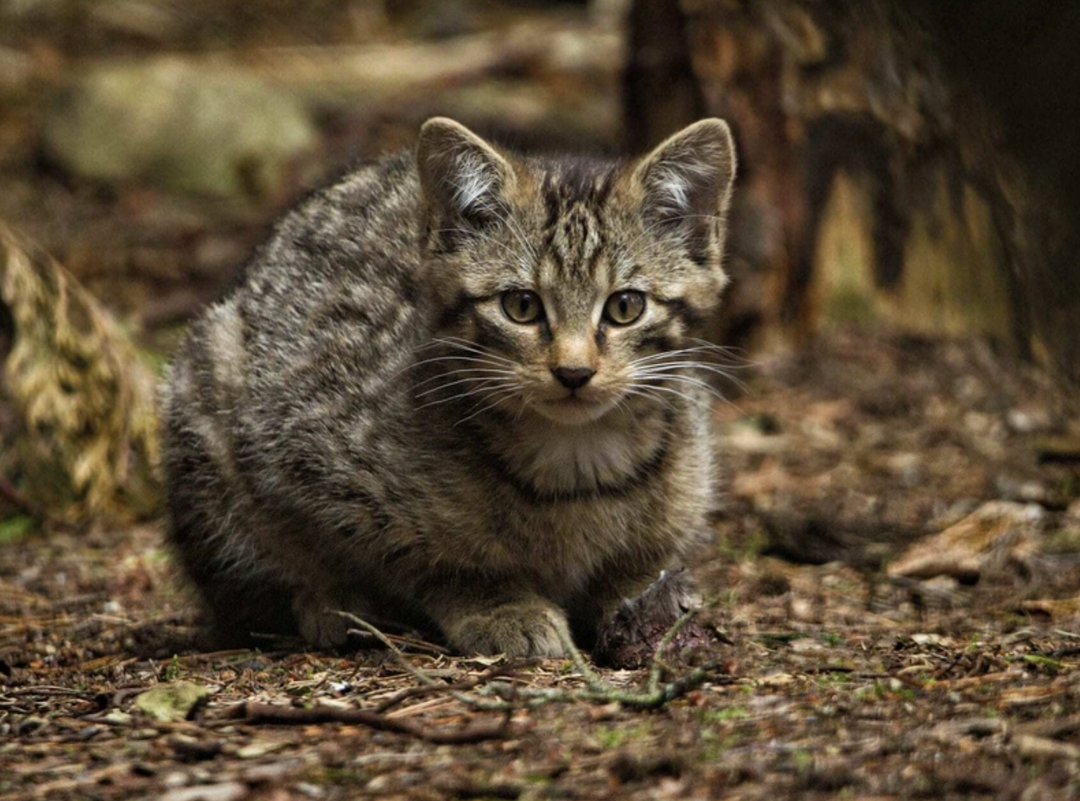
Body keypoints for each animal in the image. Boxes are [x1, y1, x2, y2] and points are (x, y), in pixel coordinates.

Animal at [162, 119, 734, 660]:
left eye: (625, 306)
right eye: (521, 305)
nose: (573, 372)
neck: (574, 460)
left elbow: (643, 560)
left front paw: (644, 595)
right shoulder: (304, 449)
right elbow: (422, 560)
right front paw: (497, 604)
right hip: (205, 384)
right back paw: (329, 604)